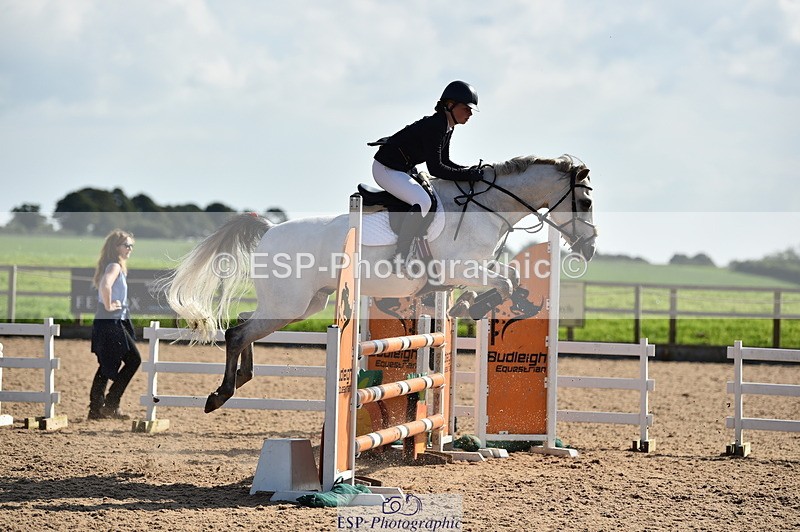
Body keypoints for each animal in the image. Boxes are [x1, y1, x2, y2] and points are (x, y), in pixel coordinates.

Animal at [163, 154, 597, 412]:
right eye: (588, 202)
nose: (590, 248)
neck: (485, 209)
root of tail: (269, 229)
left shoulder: (467, 271)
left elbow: (509, 280)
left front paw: (464, 305)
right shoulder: (462, 267)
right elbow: (506, 283)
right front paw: (470, 306)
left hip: (303, 305)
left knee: (246, 325)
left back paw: (241, 379)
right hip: (291, 304)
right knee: (237, 331)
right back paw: (220, 394)